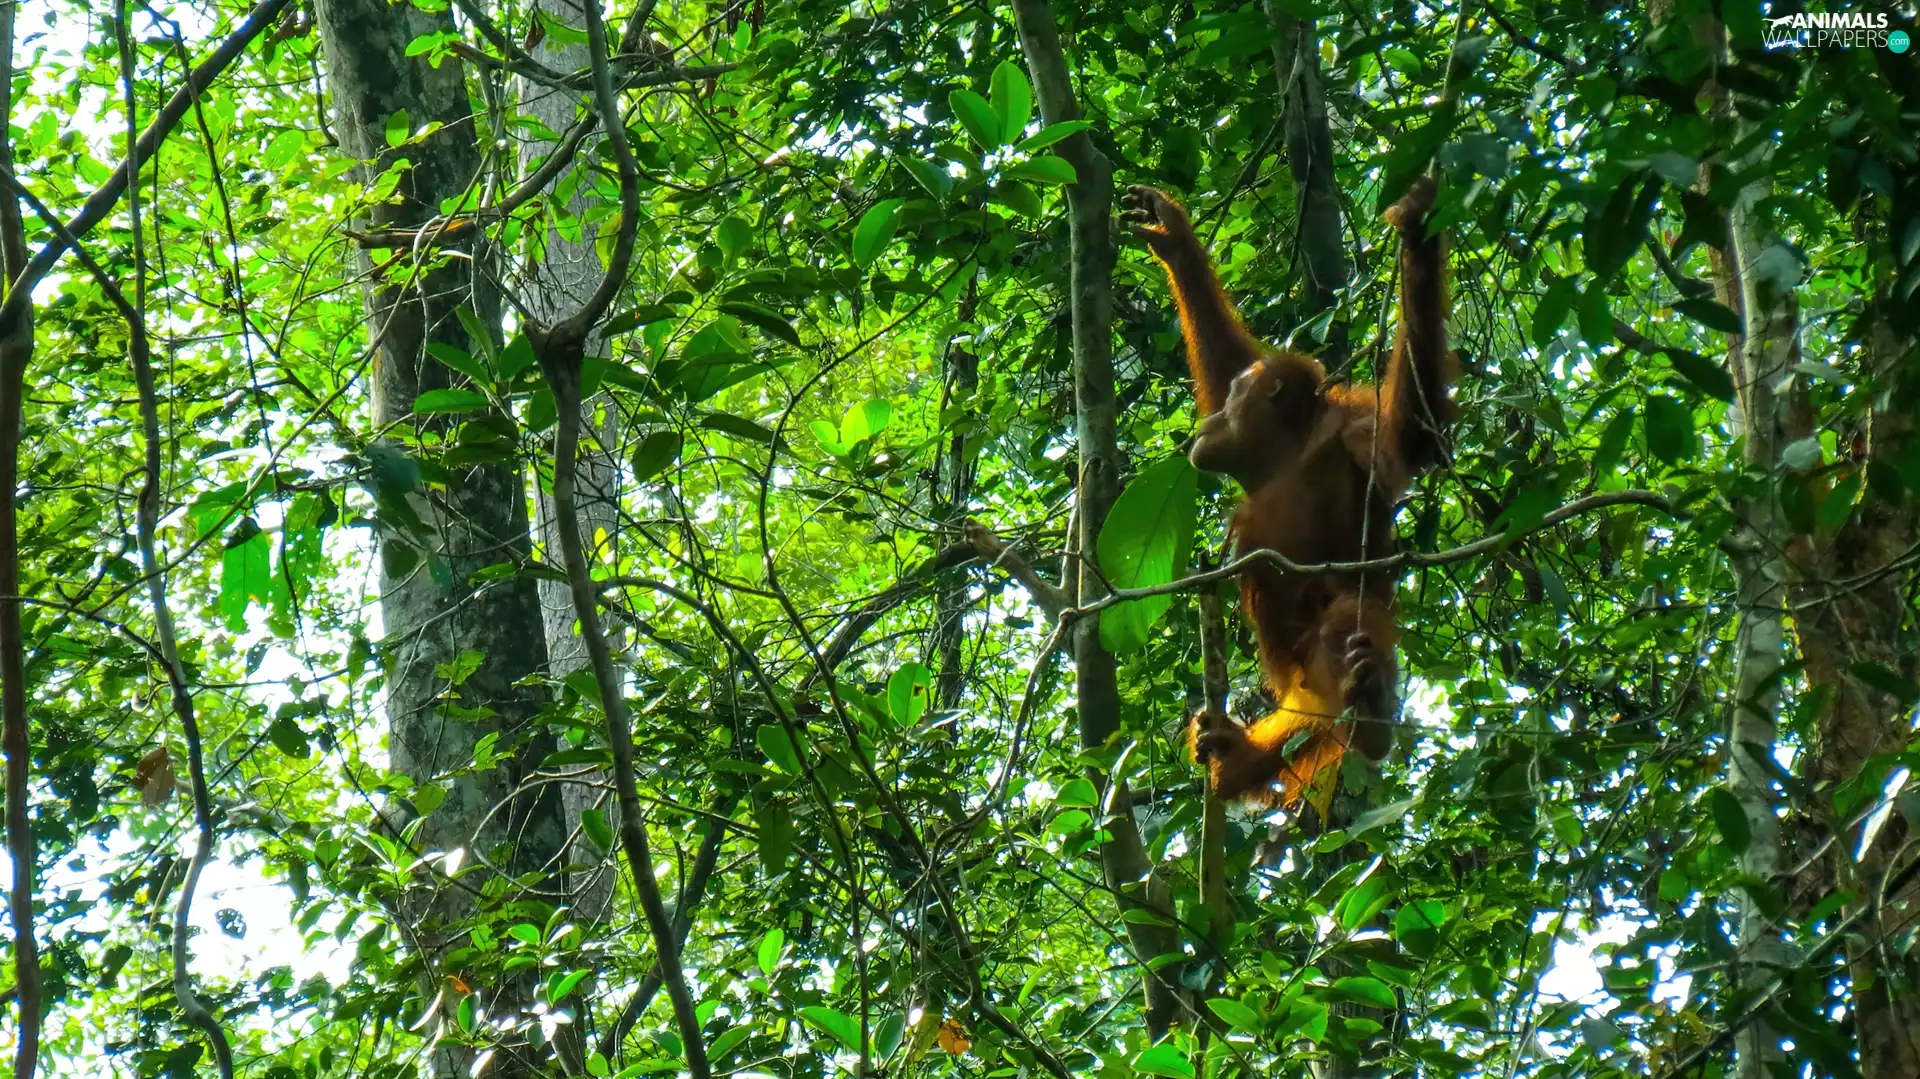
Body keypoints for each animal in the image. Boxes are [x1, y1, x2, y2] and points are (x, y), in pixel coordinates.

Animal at [1120, 177, 1452, 811]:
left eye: (1234, 401)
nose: (1212, 420)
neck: (1282, 460)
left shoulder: (1354, 426)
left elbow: (1411, 435)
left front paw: (1418, 235)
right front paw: (1171, 236)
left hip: (1329, 658)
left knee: (1343, 619)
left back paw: (1371, 718)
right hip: (1302, 691)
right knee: (1302, 718)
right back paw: (1237, 760)